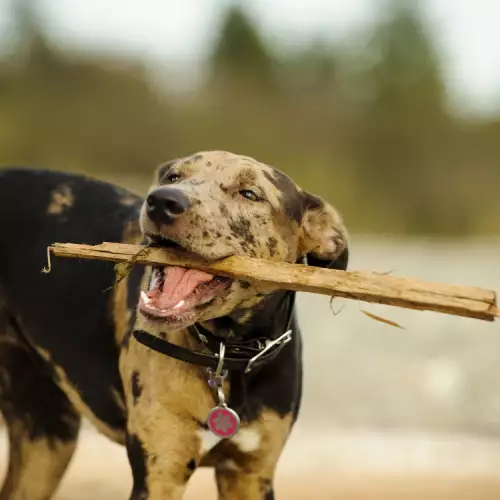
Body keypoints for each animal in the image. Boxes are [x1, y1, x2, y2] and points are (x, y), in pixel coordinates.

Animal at [0, 152, 348, 500]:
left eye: (250, 193)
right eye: (172, 177)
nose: (162, 201)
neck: (226, 352)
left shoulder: (251, 474)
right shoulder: (160, 471)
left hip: (47, 441)